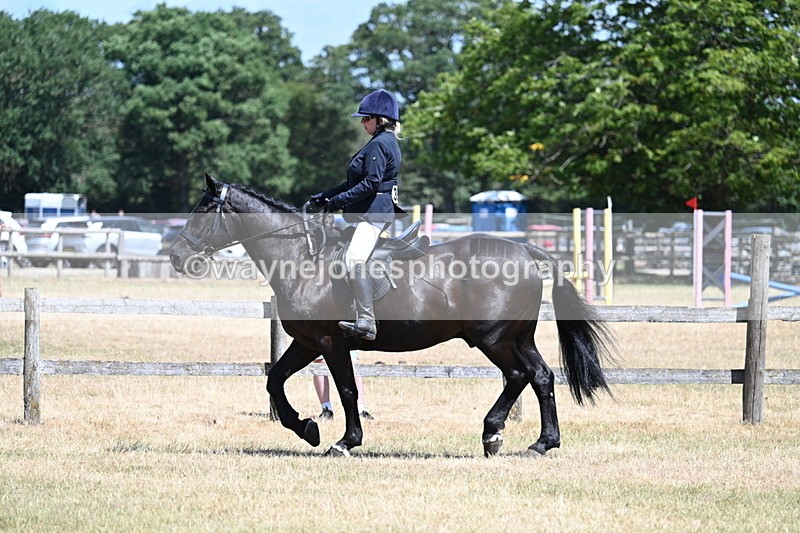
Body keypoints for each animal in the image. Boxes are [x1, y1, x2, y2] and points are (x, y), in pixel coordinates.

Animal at [169, 174, 614, 457]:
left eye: (205, 210)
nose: (176, 256)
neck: (302, 259)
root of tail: (525, 249)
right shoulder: (307, 342)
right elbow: (275, 380)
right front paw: (307, 429)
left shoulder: (330, 342)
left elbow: (347, 390)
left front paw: (345, 442)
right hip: (519, 337)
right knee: (541, 377)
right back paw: (542, 443)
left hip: (493, 339)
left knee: (519, 375)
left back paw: (492, 434)